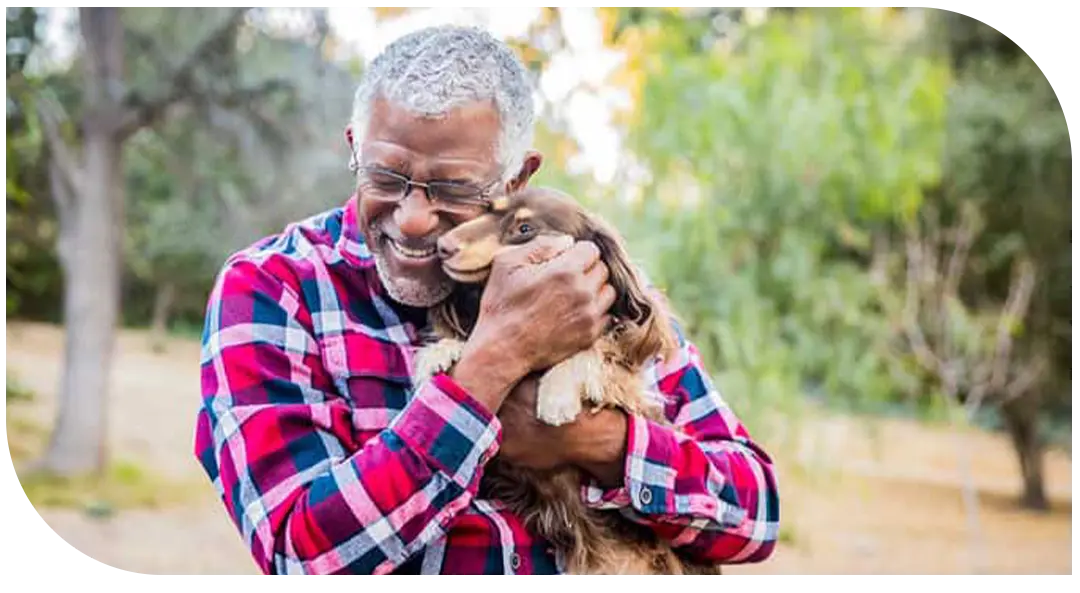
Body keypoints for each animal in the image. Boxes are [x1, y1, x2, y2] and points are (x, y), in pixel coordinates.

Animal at [410, 186, 725, 574]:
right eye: (489, 210)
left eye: (524, 228)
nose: (443, 246)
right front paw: (440, 352)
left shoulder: (624, 381)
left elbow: (592, 354)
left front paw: (556, 394)